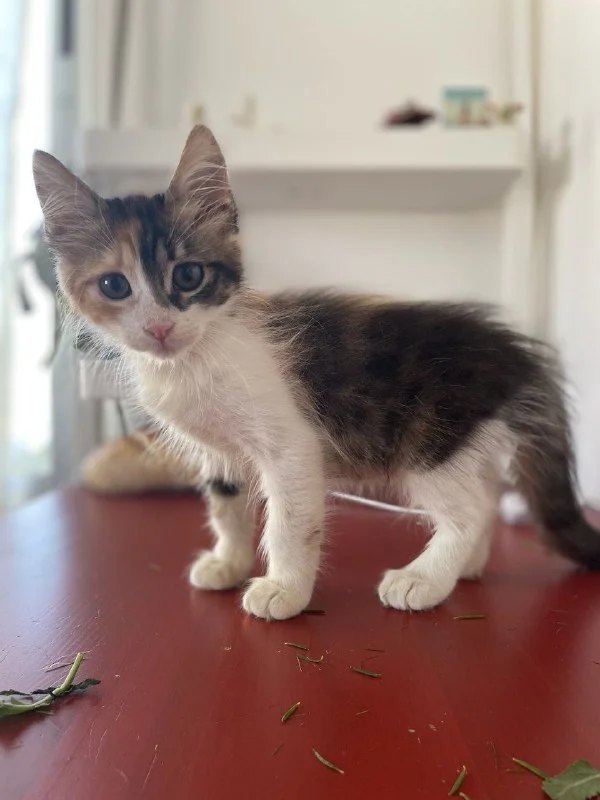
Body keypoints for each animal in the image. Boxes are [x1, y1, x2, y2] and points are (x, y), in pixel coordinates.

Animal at [32, 125, 600, 620]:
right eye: (114, 286)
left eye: (189, 276)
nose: (158, 328)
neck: (195, 357)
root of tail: (515, 352)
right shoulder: (219, 452)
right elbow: (227, 506)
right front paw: (228, 563)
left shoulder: (292, 445)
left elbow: (289, 521)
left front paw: (283, 590)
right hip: (467, 440)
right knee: (485, 492)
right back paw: (465, 569)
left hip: (431, 439)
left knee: (474, 509)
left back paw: (423, 579)